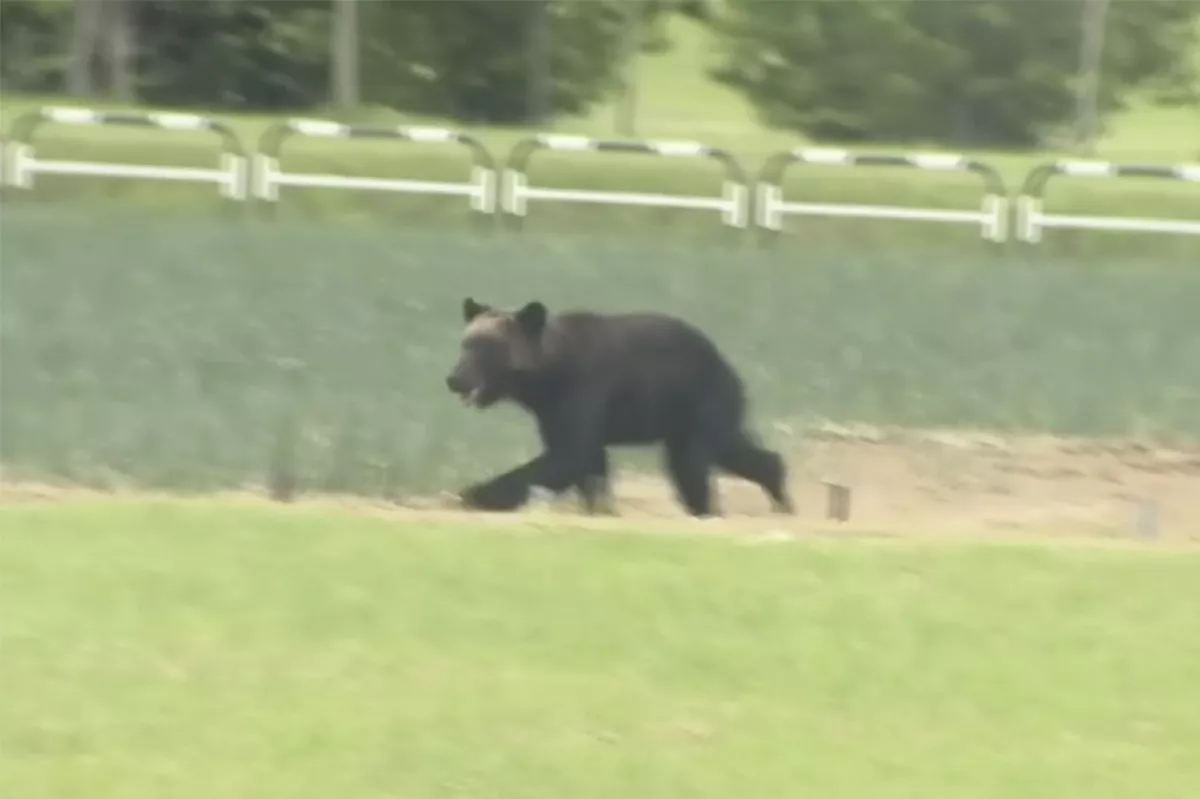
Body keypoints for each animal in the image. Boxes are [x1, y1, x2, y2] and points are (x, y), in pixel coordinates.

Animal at [444, 297, 795, 518]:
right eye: (466, 344)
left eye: (489, 347)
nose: (455, 379)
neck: (545, 379)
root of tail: (727, 363)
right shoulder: (553, 411)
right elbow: (586, 462)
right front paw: (600, 507)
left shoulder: (582, 391)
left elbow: (567, 456)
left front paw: (472, 493)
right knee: (730, 449)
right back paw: (776, 489)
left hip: (699, 399)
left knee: (693, 462)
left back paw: (712, 508)